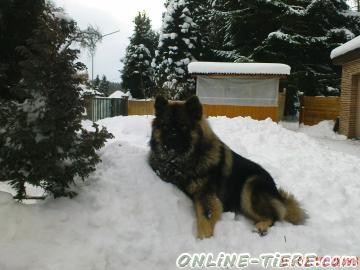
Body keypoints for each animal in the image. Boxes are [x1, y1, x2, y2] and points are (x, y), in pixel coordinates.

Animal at [148, 95, 306, 238]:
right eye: (165, 126)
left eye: (183, 126)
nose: (170, 140)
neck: (182, 161)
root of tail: (278, 194)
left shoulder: (206, 197)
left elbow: (205, 221)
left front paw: (204, 240)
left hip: (250, 185)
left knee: (273, 216)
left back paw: (261, 226)